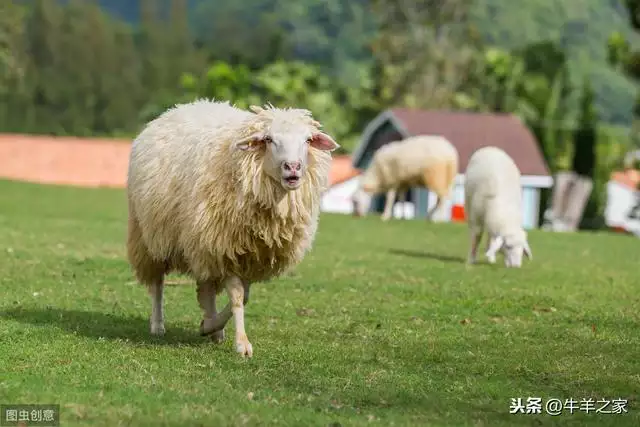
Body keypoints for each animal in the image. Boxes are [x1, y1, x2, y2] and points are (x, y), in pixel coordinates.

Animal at [124, 98, 340, 356]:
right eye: (268, 139)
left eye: (307, 140)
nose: (293, 167)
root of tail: (178, 108)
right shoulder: (224, 246)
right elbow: (237, 297)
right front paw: (241, 343)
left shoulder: (250, 255)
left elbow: (243, 297)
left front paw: (211, 326)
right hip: (150, 235)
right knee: (157, 283)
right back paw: (158, 324)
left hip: (200, 242)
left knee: (206, 289)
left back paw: (213, 328)